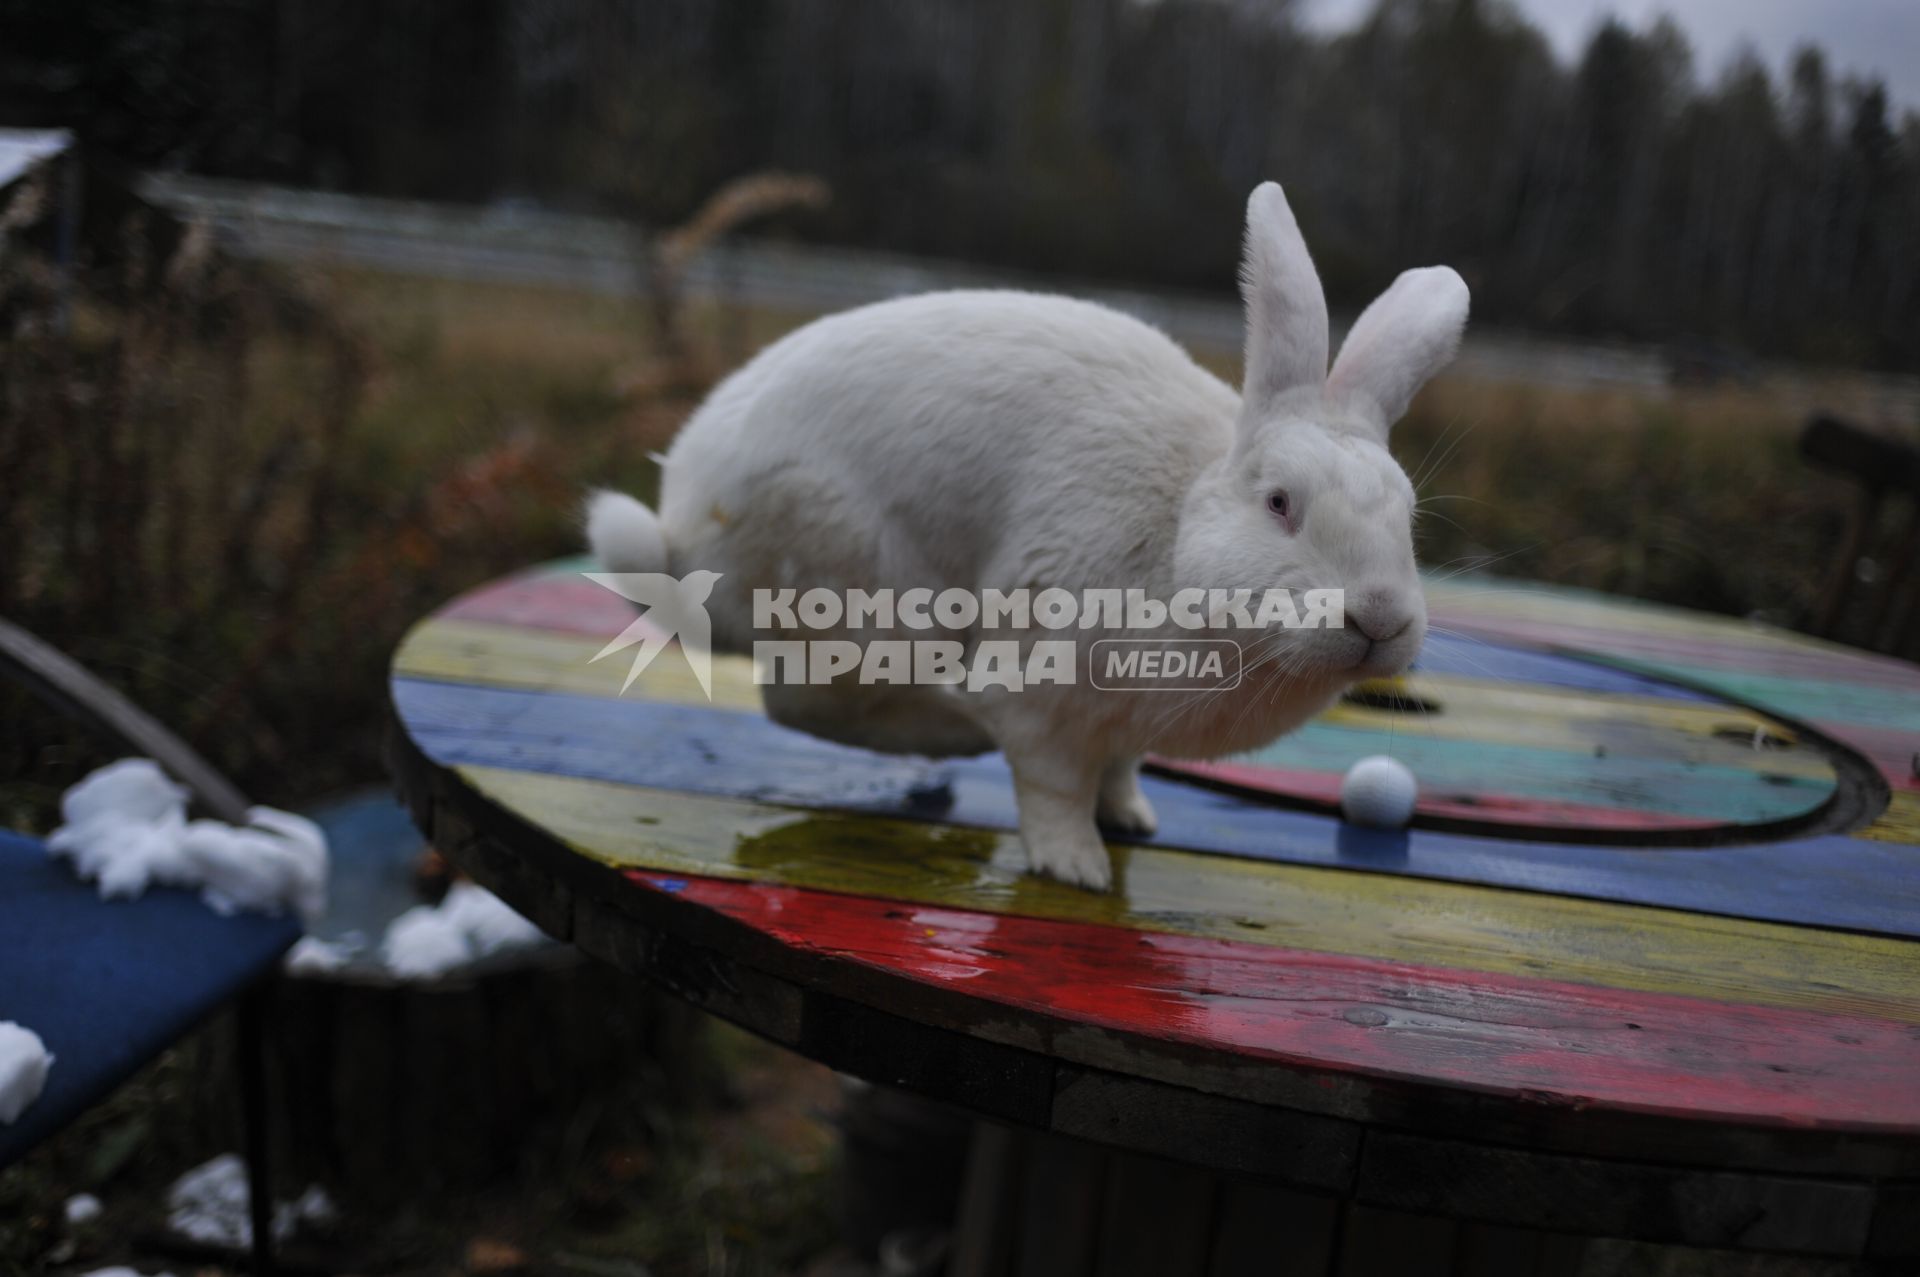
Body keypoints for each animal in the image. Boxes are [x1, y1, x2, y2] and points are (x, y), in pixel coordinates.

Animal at [591, 181, 1459, 887]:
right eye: (1280, 503)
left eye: (1407, 514)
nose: (1381, 617)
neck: (1178, 537)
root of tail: (683, 543)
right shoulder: (1047, 692)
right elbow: (1052, 784)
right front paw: (1076, 866)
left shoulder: (1124, 726)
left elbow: (1117, 770)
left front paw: (1130, 817)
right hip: (857, 586)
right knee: (806, 703)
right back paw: (951, 729)